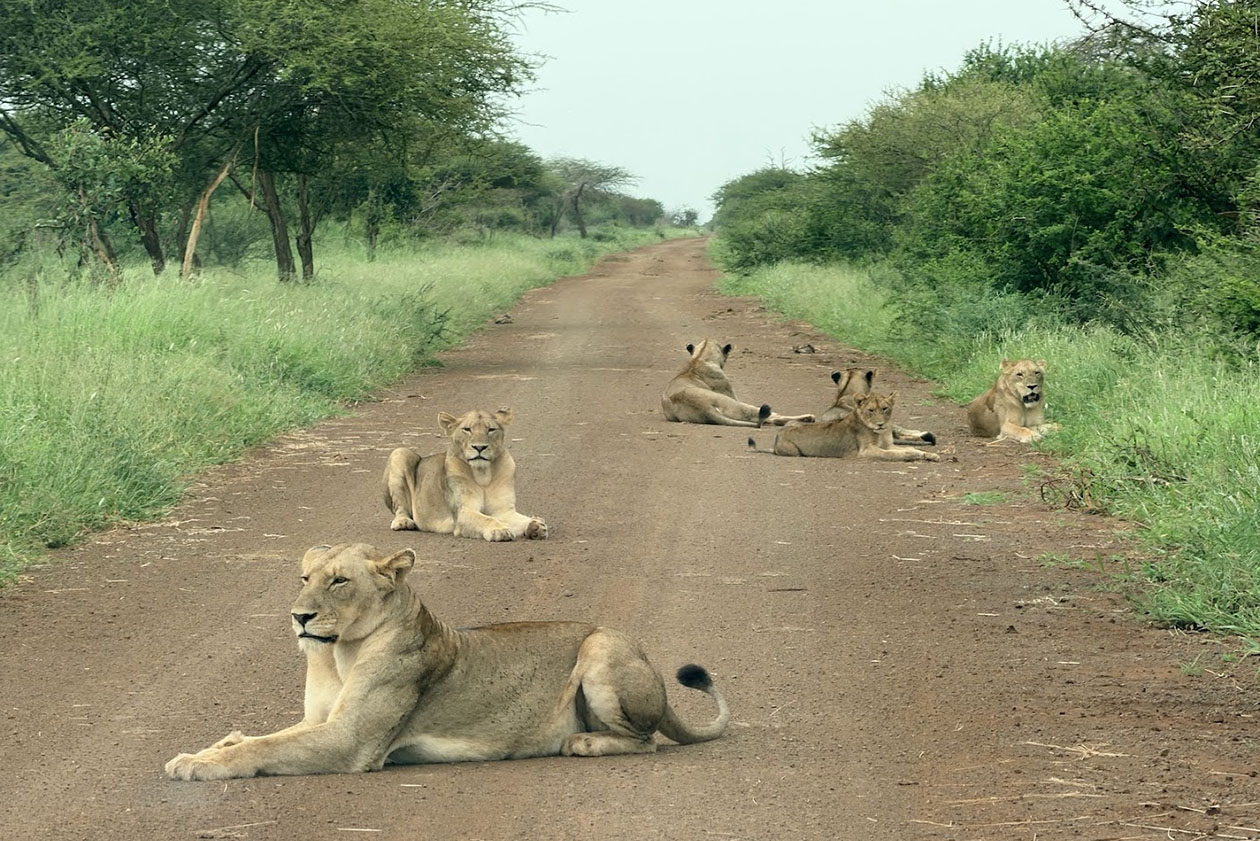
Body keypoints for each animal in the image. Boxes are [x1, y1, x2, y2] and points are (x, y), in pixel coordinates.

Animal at [165, 543, 730, 780]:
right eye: (305, 578)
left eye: (340, 580)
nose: (298, 616)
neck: (339, 652)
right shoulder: (317, 721)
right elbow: (257, 737)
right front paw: (207, 748)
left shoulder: (349, 740)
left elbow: (260, 748)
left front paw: (198, 765)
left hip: (601, 646)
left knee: (646, 740)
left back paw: (582, 743)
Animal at [383, 408, 546, 542]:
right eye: (467, 429)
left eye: (491, 429)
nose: (479, 447)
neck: (483, 475)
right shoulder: (464, 511)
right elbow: (487, 519)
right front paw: (499, 530)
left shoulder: (503, 511)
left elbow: (517, 519)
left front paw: (536, 526)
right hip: (399, 453)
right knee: (400, 509)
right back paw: (403, 522)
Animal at [749, 392, 939, 461]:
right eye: (871, 410)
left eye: (885, 409)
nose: (880, 424)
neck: (880, 433)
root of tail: (776, 439)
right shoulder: (865, 451)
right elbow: (896, 454)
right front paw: (913, 456)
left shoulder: (888, 444)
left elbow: (909, 448)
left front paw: (930, 455)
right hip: (793, 451)